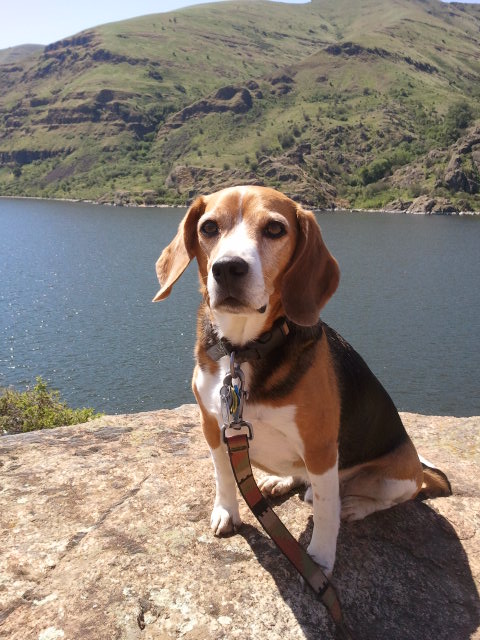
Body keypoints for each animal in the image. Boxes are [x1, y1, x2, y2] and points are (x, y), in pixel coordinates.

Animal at [153, 185, 451, 576]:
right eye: (209, 227)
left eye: (275, 229)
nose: (228, 267)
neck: (243, 349)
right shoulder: (213, 427)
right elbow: (224, 477)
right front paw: (227, 512)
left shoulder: (321, 445)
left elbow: (325, 511)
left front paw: (320, 559)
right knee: (302, 476)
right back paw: (281, 480)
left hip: (395, 476)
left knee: (381, 496)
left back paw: (353, 505)